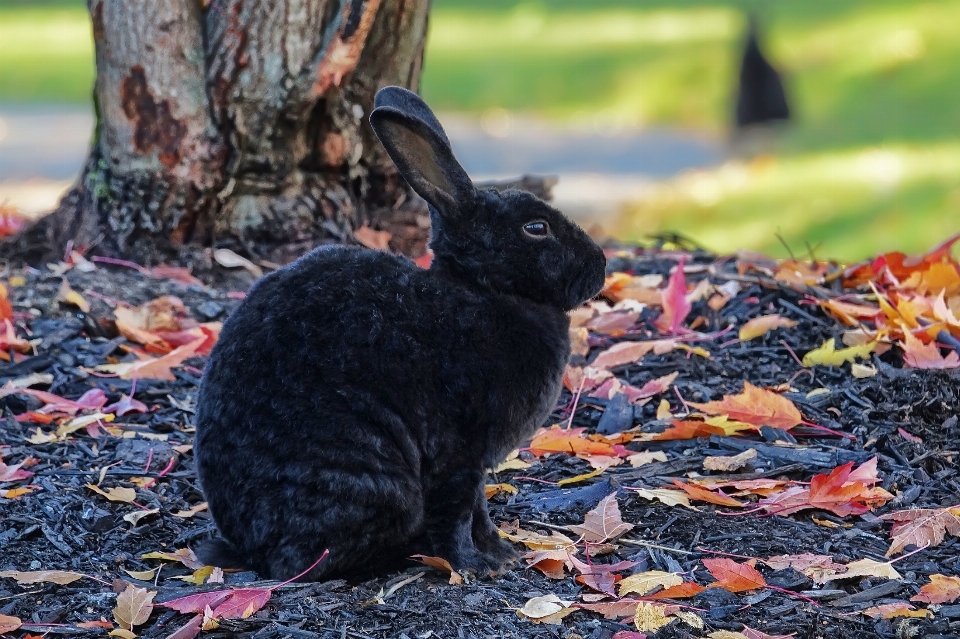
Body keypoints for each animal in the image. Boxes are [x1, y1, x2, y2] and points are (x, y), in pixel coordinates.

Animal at [191, 87, 604, 584]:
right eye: (536, 228)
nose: (600, 266)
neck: (482, 289)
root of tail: (250, 548)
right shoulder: (457, 453)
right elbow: (459, 513)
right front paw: (478, 566)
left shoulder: (474, 462)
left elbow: (479, 510)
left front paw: (503, 553)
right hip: (375, 483)